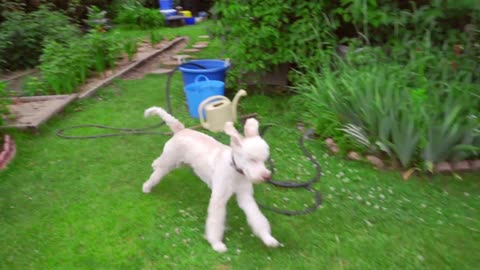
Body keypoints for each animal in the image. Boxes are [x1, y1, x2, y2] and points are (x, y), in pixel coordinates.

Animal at [141, 106, 280, 252]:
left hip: (177, 162)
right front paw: (216, 243)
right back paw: (146, 187)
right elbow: (215, 221)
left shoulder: (245, 196)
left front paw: (268, 238)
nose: (267, 176)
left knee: (157, 162)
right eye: (252, 159)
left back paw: (153, 166)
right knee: (156, 174)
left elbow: (257, 217)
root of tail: (181, 129)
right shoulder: (218, 199)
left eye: (264, 160)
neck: (235, 171)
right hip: (169, 161)